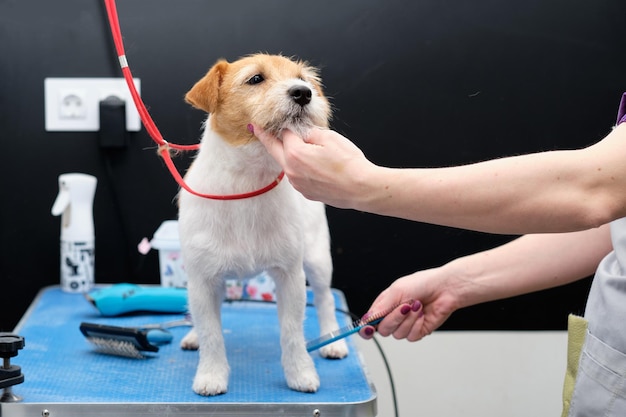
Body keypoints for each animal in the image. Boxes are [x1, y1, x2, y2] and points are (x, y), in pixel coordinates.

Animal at [178, 53, 348, 394]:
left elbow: (292, 332)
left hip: (317, 260)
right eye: (255, 79)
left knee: (324, 298)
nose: (303, 93)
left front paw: (299, 373)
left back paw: (333, 340)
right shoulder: (202, 280)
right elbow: (211, 332)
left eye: (303, 79)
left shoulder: (290, 276)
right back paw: (192, 335)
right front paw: (211, 375)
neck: (248, 179)